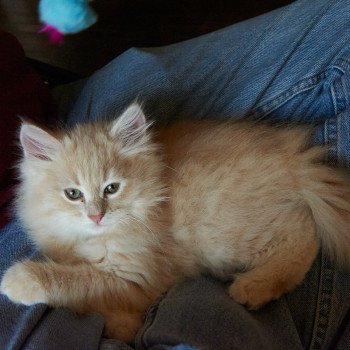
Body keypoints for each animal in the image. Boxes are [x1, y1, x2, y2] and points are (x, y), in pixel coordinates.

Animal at [0, 104, 350, 342]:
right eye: (73, 194)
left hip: (226, 232)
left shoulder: (133, 276)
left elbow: (76, 281)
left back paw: (253, 287)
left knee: (304, 235)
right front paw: (121, 326)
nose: (96, 216)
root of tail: (293, 158)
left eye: (111, 188)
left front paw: (19, 280)